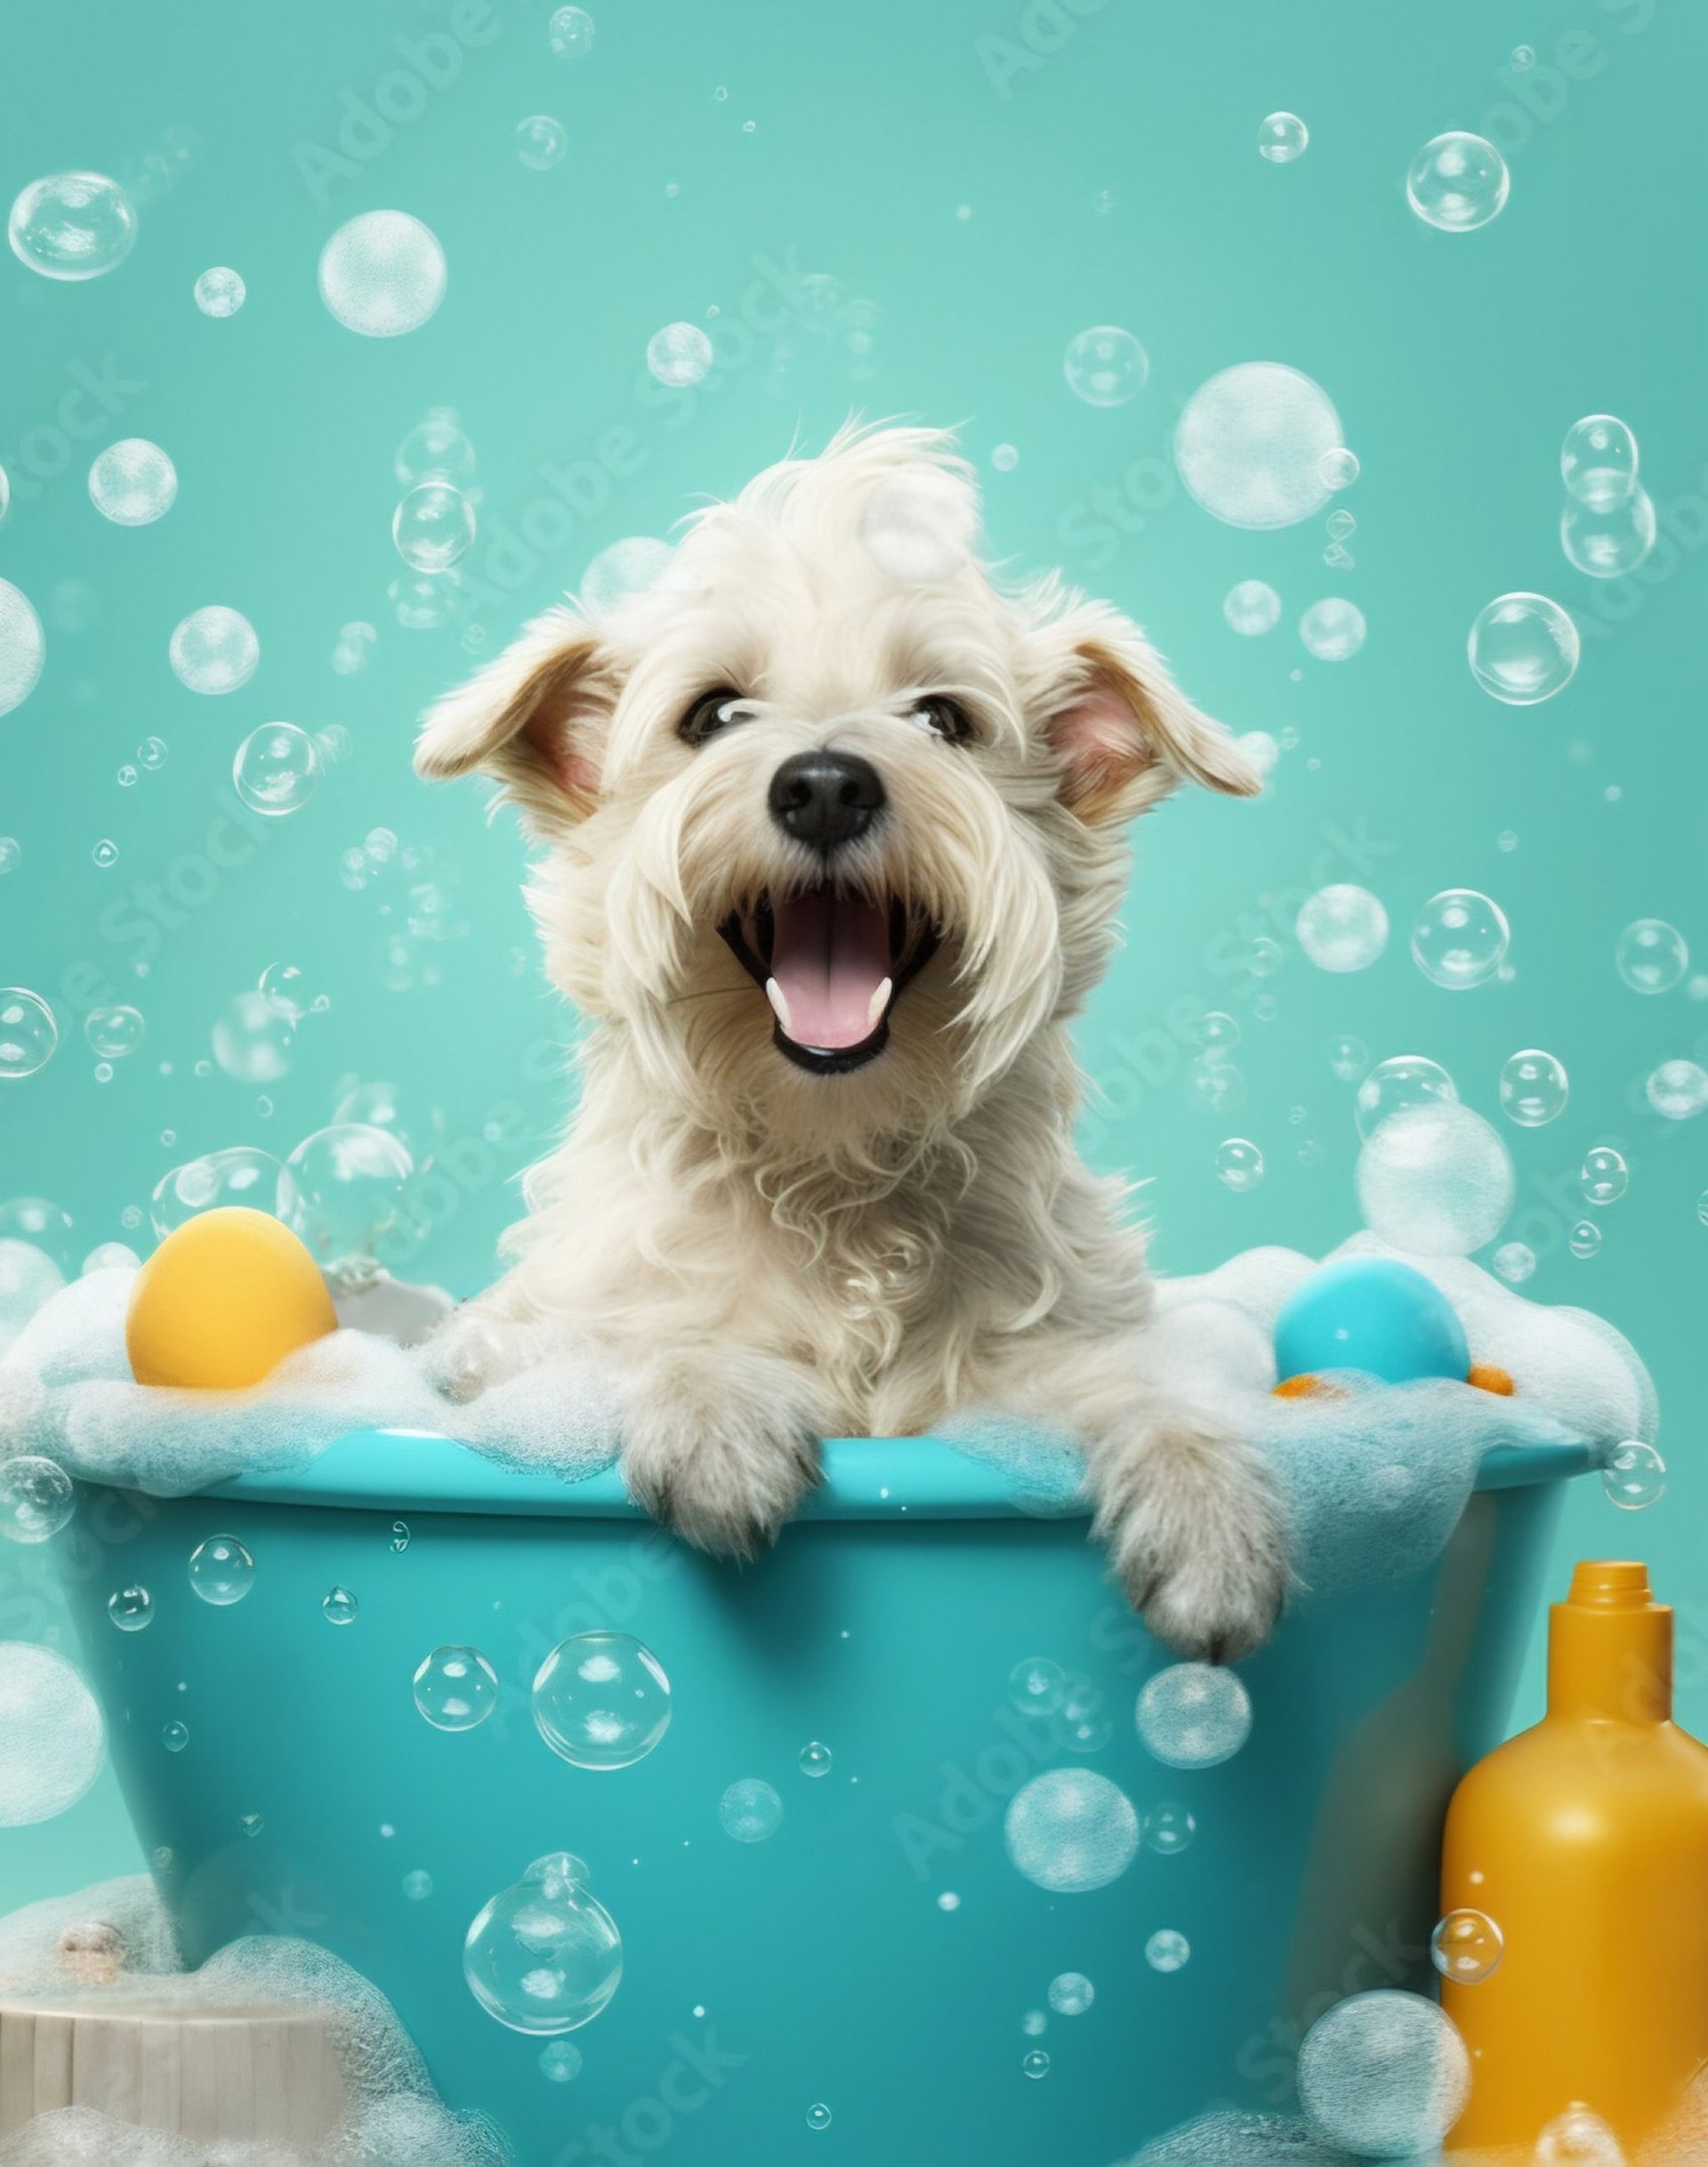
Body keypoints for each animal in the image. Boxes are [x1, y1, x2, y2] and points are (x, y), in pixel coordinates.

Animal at [420, 423, 1292, 1655]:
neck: (834, 1171)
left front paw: (1210, 1511)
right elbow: (650, 1335)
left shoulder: (1037, 1369)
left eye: (944, 720)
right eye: (711, 716)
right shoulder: (530, 1339)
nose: (826, 785)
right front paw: (715, 1399)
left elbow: (1147, 1390)